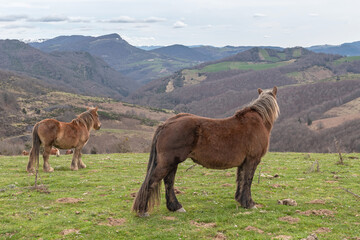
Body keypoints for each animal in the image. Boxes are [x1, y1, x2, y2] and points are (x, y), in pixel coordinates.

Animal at [131, 86, 278, 216]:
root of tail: (166, 124)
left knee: (168, 182)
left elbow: (241, 180)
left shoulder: (243, 163)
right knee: (152, 181)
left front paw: (241, 202)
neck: (259, 121)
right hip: (167, 162)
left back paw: (176, 207)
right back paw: (143, 211)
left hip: (172, 163)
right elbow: (248, 180)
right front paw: (250, 204)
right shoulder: (252, 160)